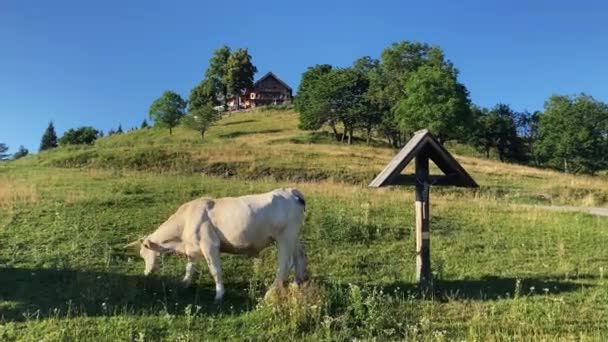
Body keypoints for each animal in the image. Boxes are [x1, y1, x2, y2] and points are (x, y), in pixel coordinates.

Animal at [127, 187, 308, 302]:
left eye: (144, 254)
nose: (147, 273)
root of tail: (290, 191)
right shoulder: (193, 248)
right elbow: (190, 266)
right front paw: (185, 282)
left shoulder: (210, 245)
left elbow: (215, 271)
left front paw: (219, 294)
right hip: (294, 237)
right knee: (300, 255)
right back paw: (297, 284)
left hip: (285, 237)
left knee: (284, 264)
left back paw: (271, 292)